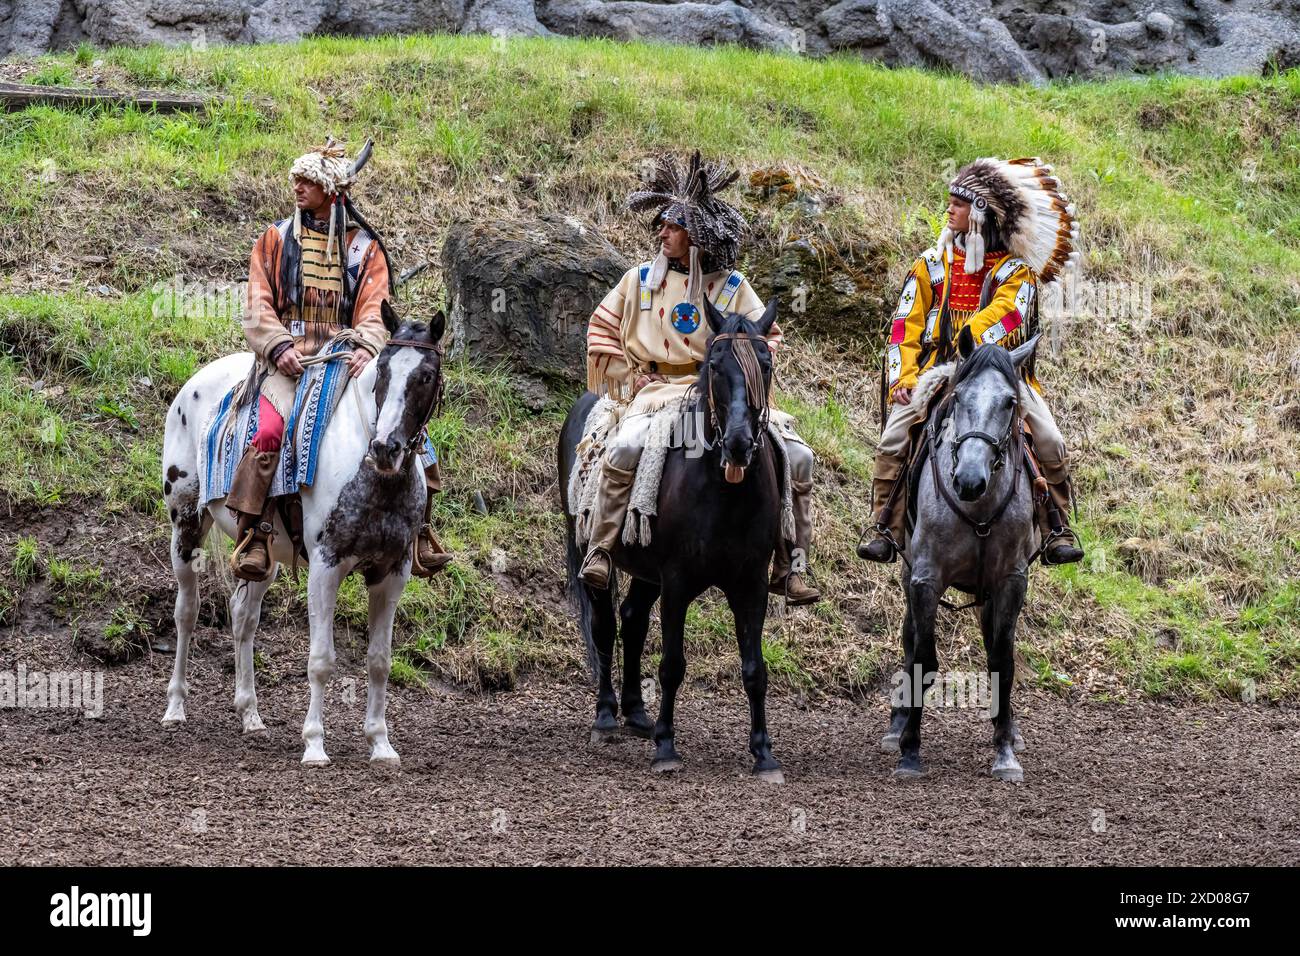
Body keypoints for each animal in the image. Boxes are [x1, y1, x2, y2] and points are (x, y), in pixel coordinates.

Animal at [159, 303, 444, 764]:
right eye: (383, 370)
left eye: (426, 376)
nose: (386, 447)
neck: (372, 475)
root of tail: (194, 384)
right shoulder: (325, 568)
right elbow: (321, 660)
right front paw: (314, 744)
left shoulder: (392, 572)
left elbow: (379, 660)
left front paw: (380, 743)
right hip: (185, 527)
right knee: (187, 612)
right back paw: (175, 707)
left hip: (264, 556)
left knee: (243, 618)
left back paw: (250, 715)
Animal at [556, 300, 780, 785]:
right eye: (715, 366)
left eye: (766, 365)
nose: (738, 444)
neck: (725, 490)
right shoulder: (677, 582)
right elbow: (673, 665)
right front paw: (666, 747)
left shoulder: (751, 585)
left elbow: (755, 668)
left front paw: (763, 753)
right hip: (588, 548)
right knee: (604, 622)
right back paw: (607, 716)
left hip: (647, 571)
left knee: (633, 618)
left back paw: (637, 714)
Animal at [889, 325, 1040, 780]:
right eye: (958, 397)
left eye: (1010, 402)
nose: (969, 480)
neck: (978, 508)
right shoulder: (925, 578)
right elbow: (922, 656)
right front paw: (909, 750)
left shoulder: (1011, 581)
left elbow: (1002, 660)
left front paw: (1005, 751)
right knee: (909, 639)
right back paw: (896, 725)